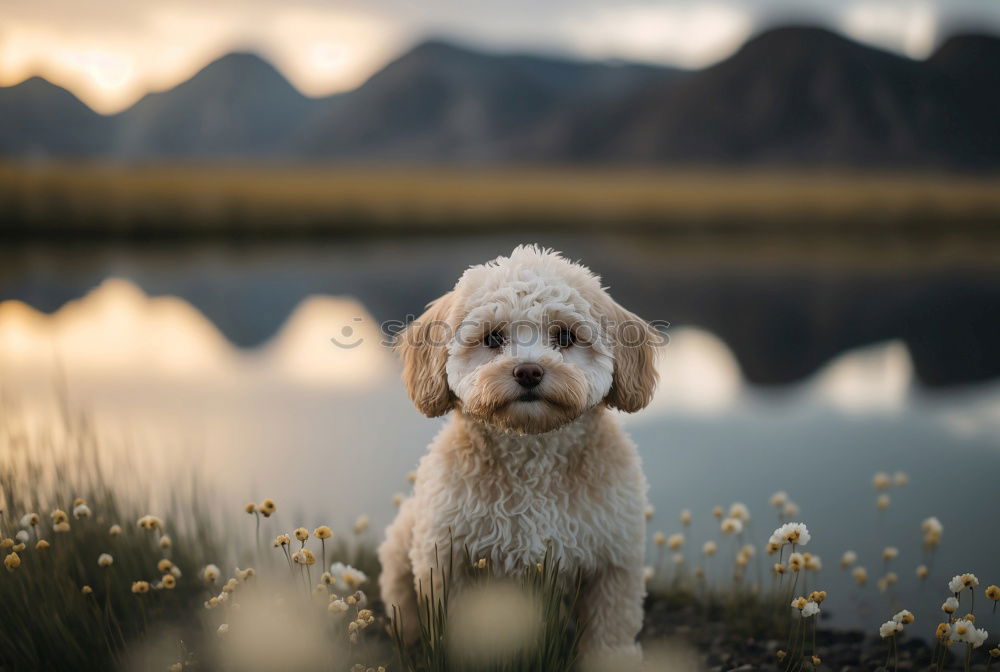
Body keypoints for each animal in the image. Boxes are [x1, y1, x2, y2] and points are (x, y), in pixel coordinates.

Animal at [378, 244, 660, 660]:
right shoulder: (448, 559)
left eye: (564, 336)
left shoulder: (614, 560)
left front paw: (612, 662)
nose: (529, 371)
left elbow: (610, 632)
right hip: (402, 545)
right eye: (493, 338)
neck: (532, 453)